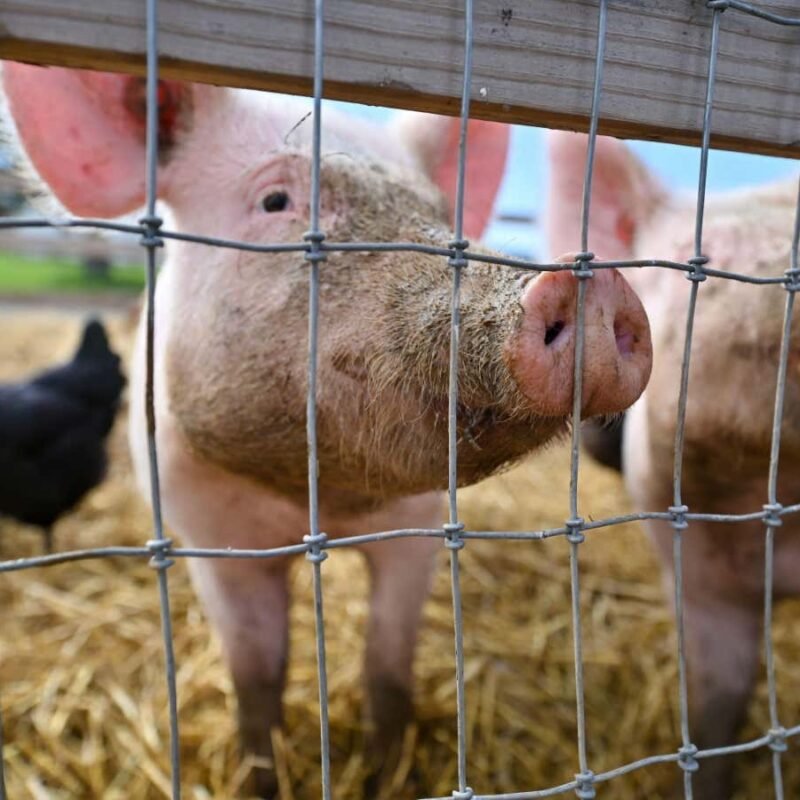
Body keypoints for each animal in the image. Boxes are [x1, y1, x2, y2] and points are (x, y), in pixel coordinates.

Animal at [2, 62, 652, 798]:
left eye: (439, 213)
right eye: (275, 200)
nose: (589, 282)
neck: (319, 501)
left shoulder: (417, 529)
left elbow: (387, 667)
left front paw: (388, 772)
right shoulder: (206, 533)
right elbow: (257, 677)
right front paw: (262, 777)